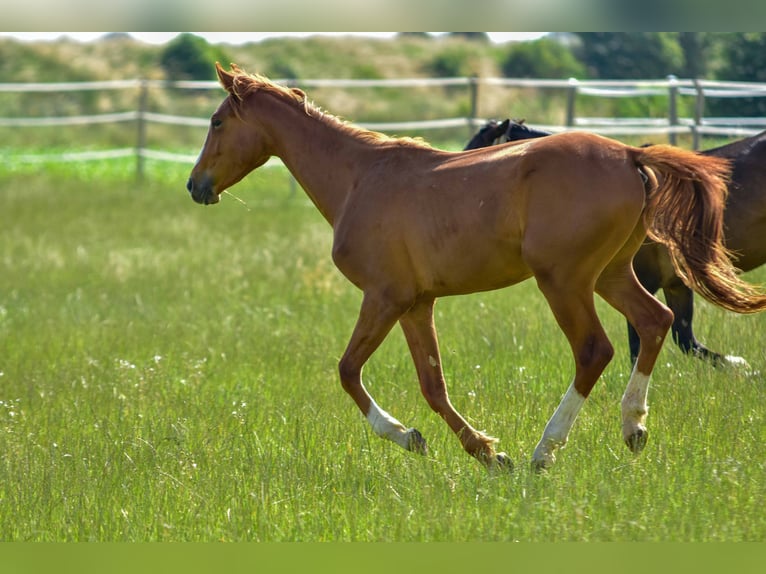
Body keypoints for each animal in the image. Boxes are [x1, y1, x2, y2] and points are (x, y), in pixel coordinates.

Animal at [473, 119, 766, 366]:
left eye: (477, 149)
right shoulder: (676, 284)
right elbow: (686, 341)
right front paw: (741, 365)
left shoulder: (647, 279)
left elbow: (642, 344)